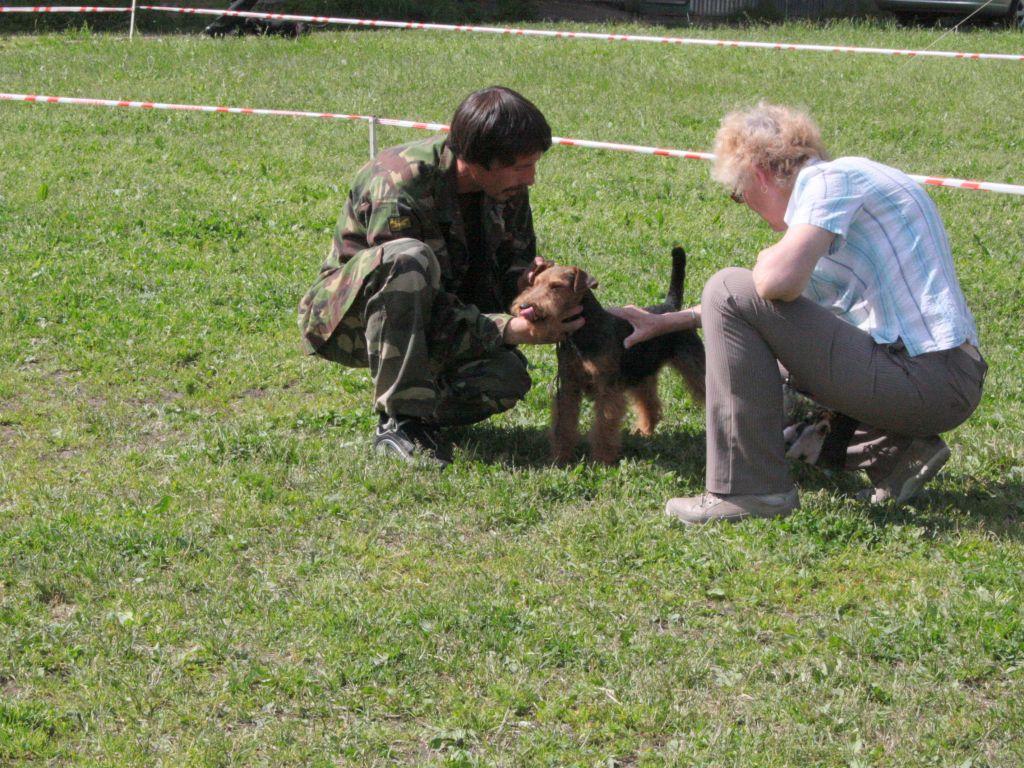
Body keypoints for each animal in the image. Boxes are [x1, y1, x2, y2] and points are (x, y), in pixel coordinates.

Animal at [511, 247, 706, 465]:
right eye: (534, 283)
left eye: (556, 286)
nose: (524, 306)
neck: (583, 334)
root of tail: (671, 307)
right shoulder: (569, 386)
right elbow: (564, 424)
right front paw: (561, 457)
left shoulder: (607, 388)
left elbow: (604, 425)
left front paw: (602, 459)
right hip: (641, 373)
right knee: (650, 405)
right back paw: (644, 431)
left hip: (694, 365)